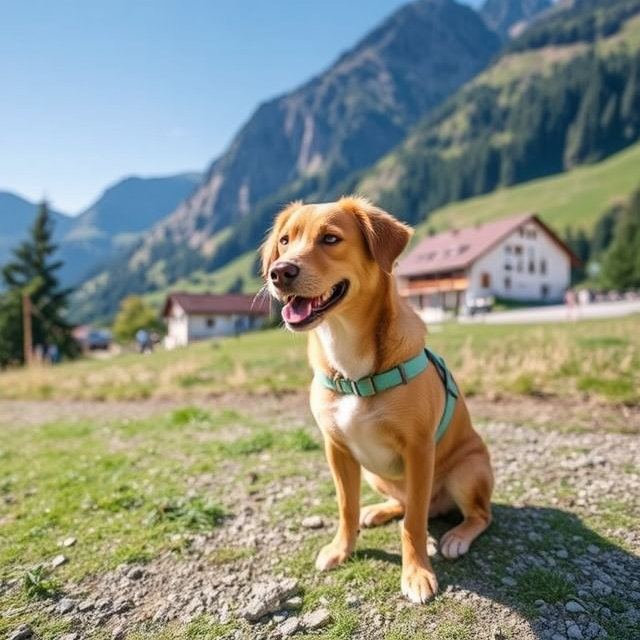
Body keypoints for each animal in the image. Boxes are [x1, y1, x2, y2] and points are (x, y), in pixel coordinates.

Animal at [262, 198, 492, 604]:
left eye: (330, 238)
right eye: (285, 240)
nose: (279, 272)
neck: (351, 366)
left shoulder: (419, 449)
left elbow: (413, 523)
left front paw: (416, 573)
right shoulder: (336, 449)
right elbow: (346, 506)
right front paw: (342, 548)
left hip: (468, 471)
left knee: (478, 515)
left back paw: (456, 537)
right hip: (374, 474)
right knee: (403, 502)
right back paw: (380, 511)